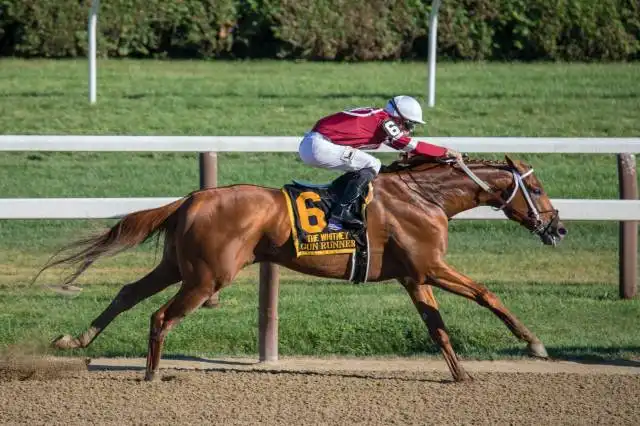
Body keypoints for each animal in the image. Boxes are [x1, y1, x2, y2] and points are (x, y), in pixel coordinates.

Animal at [35, 154, 567, 382]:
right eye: (538, 189)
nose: (558, 228)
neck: (425, 197)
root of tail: (192, 198)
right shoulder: (431, 268)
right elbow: (487, 294)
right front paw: (535, 344)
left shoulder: (415, 277)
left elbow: (437, 329)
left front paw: (461, 376)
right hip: (207, 277)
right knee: (161, 316)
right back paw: (151, 376)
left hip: (178, 267)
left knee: (128, 292)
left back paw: (75, 340)